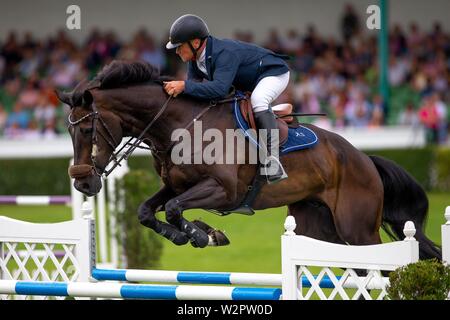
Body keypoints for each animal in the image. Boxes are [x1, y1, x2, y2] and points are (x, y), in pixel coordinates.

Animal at [55, 61, 440, 262]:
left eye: (87, 128)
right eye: (68, 130)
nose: (82, 182)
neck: (179, 125)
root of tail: (365, 160)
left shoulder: (225, 191)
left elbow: (177, 210)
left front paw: (204, 235)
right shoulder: (175, 185)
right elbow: (147, 212)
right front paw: (192, 234)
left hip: (357, 230)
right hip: (319, 227)